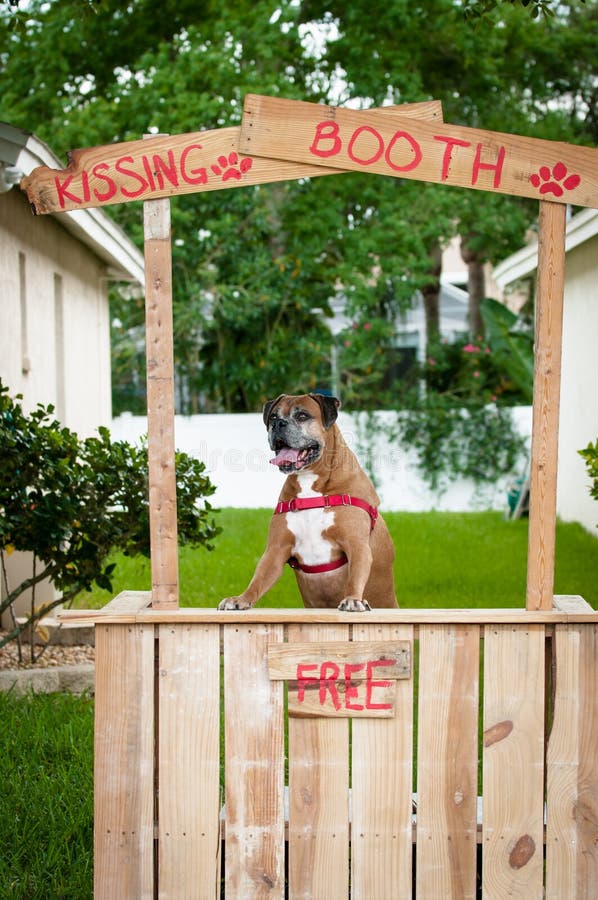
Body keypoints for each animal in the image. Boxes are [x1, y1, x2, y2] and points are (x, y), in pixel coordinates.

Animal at [219, 394, 398, 612]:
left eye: (303, 416)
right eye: (273, 416)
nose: (278, 424)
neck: (310, 483)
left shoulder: (357, 545)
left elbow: (355, 576)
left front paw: (353, 599)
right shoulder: (276, 550)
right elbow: (259, 579)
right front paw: (241, 598)